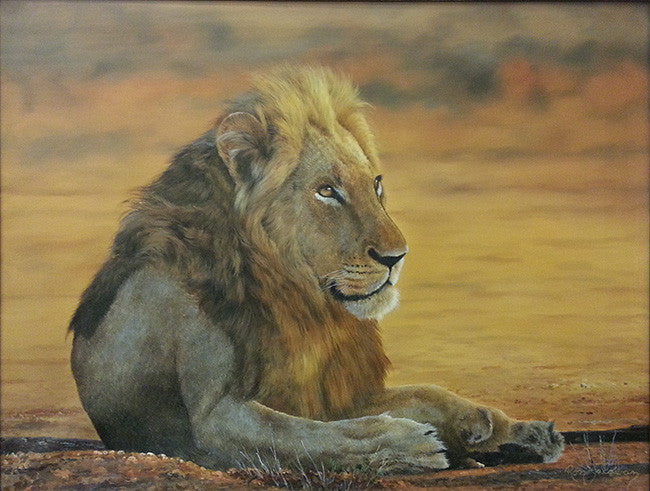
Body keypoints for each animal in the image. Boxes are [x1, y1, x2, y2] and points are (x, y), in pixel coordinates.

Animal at [70, 66, 563, 474]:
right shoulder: (216, 417)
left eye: (376, 184)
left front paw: (507, 429)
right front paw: (406, 443)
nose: (397, 256)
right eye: (327, 191)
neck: (302, 301)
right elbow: (313, 436)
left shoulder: (334, 390)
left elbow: (425, 393)